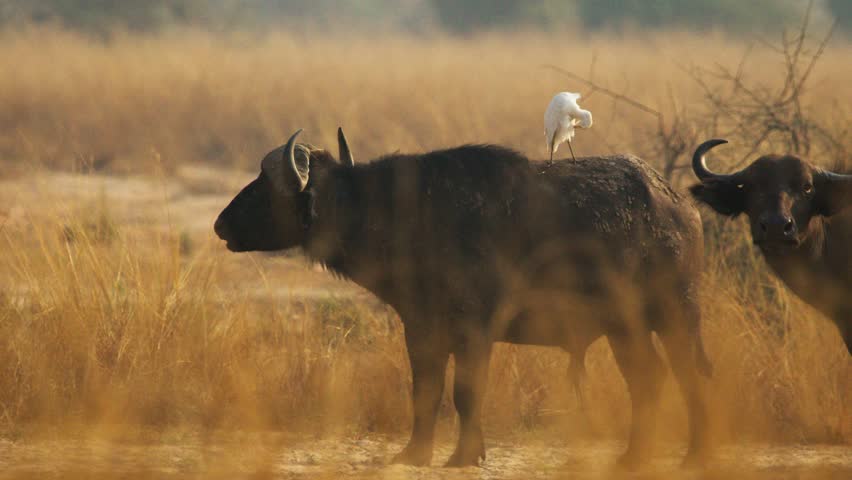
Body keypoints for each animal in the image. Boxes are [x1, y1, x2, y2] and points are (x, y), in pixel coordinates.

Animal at [214, 128, 713, 468]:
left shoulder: (475, 328)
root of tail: (680, 207)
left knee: (689, 375)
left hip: (678, 313)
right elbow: (426, 390)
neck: (406, 214)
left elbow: (466, 391)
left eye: (264, 185)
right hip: (625, 328)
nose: (220, 224)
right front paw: (414, 453)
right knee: (648, 379)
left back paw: (694, 455)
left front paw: (464, 455)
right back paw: (633, 457)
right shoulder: (420, 327)